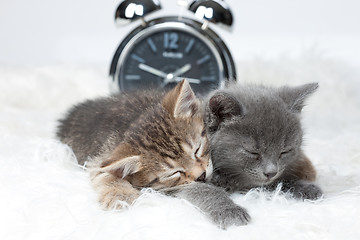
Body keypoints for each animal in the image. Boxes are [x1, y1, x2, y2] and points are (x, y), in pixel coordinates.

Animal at [57, 79, 248, 228]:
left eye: (197, 149)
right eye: (174, 173)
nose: (201, 175)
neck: (135, 118)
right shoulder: (101, 157)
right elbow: (103, 173)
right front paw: (120, 194)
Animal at [205, 83, 324, 225]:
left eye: (285, 151)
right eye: (252, 152)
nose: (271, 173)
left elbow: (276, 183)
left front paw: (306, 188)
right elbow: (205, 189)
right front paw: (230, 212)